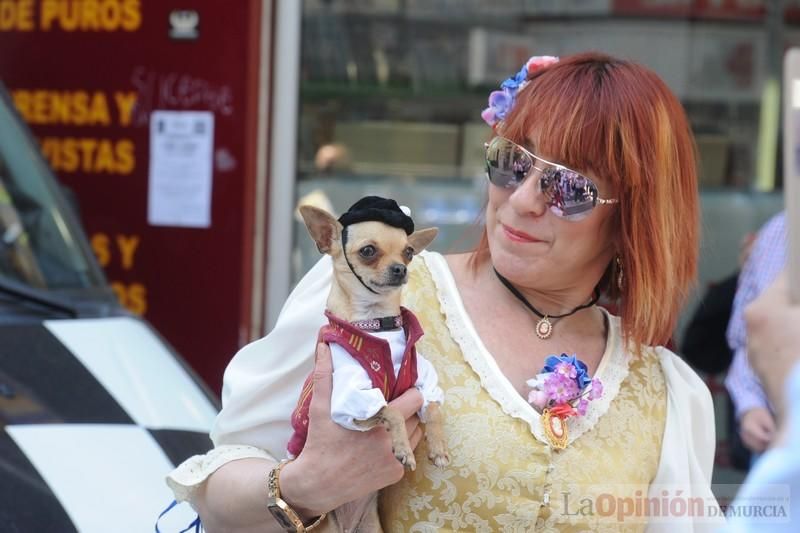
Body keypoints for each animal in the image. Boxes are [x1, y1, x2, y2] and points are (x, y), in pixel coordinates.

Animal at [288, 197, 450, 528]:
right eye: (368, 251)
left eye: (409, 252)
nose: (401, 268)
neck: (378, 324)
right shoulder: (353, 402)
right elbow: (392, 411)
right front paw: (403, 449)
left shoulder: (424, 378)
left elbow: (434, 409)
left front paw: (438, 447)